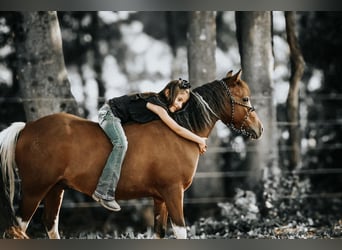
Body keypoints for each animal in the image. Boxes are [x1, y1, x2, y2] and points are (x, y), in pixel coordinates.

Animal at [0, 70, 262, 238]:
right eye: (246, 98)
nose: (259, 129)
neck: (180, 130)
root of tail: (26, 128)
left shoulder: (160, 198)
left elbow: (160, 233)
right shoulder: (173, 193)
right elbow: (180, 232)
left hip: (56, 189)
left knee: (50, 225)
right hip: (34, 190)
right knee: (19, 228)